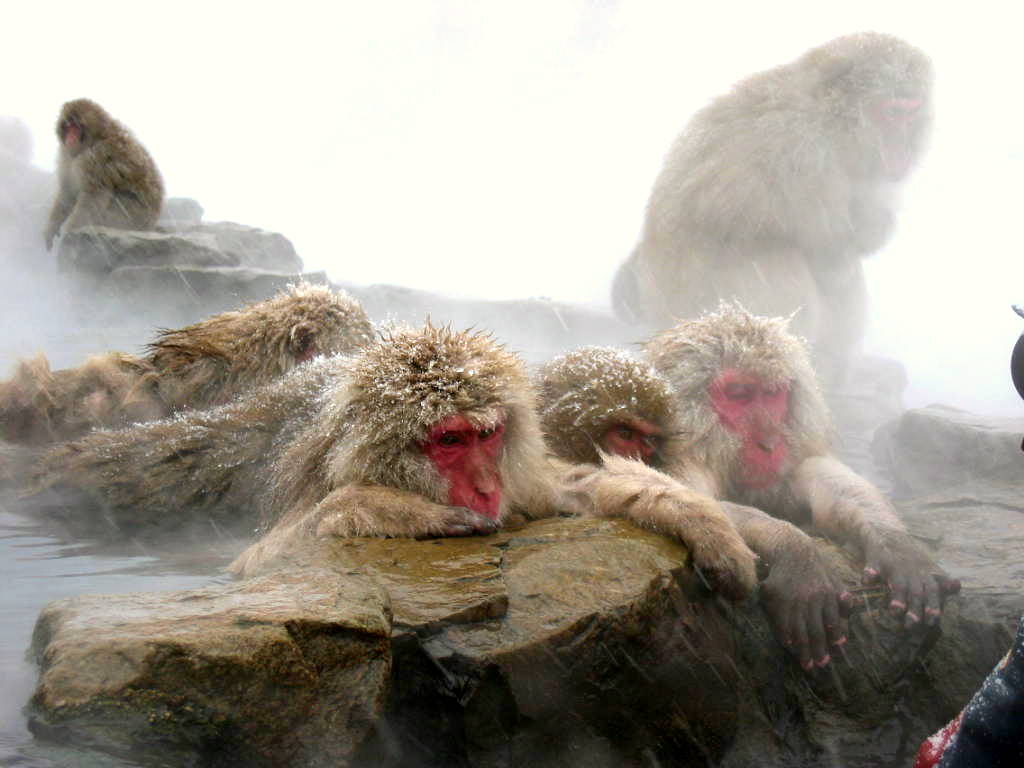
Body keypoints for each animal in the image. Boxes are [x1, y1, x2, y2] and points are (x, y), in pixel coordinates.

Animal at [27, 324, 757, 599]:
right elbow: (253, 562)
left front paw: (698, 519)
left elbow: (570, 487)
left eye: (489, 435)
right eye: (449, 441)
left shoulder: (522, 481)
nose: (485, 486)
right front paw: (383, 509)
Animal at [45, 98, 164, 250]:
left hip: (128, 216)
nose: (70, 137)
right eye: (68, 125)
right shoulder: (67, 157)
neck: (95, 138)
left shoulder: (96, 159)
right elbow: (68, 192)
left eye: (77, 126)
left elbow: (94, 197)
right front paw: (50, 231)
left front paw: (67, 230)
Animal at [612, 32, 932, 379]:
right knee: (782, 260)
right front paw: (872, 229)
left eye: (912, 111)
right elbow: (831, 257)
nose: (903, 150)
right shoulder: (805, 158)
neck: (827, 119)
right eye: (892, 113)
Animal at [642, 303, 960, 670]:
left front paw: (899, 548)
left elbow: (819, 477)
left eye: (772, 394)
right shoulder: (677, 456)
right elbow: (688, 502)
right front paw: (797, 552)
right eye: (739, 395)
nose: (769, 443)